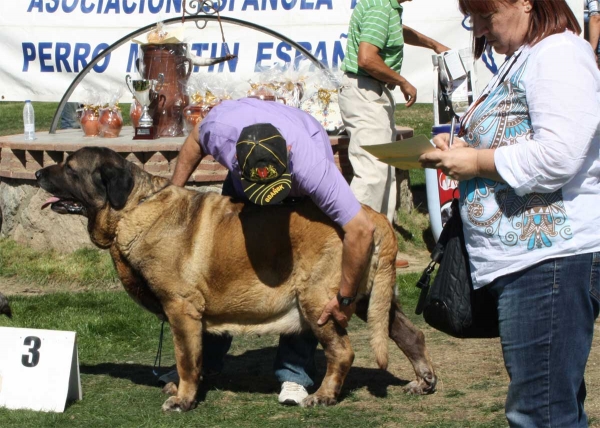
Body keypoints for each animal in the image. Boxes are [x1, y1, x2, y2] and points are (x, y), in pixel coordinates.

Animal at [37, 147, 438, 412]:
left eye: (70, 168)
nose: (40, 175)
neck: (133, 207)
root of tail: (373, 218)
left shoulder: (181, 308)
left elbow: (186, 358)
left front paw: (183, 399)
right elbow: (196, 356)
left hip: (317, 301)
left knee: (342, 352)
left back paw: (323, 396)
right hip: (372, 298)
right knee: (410, 334)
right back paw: (423, 381)